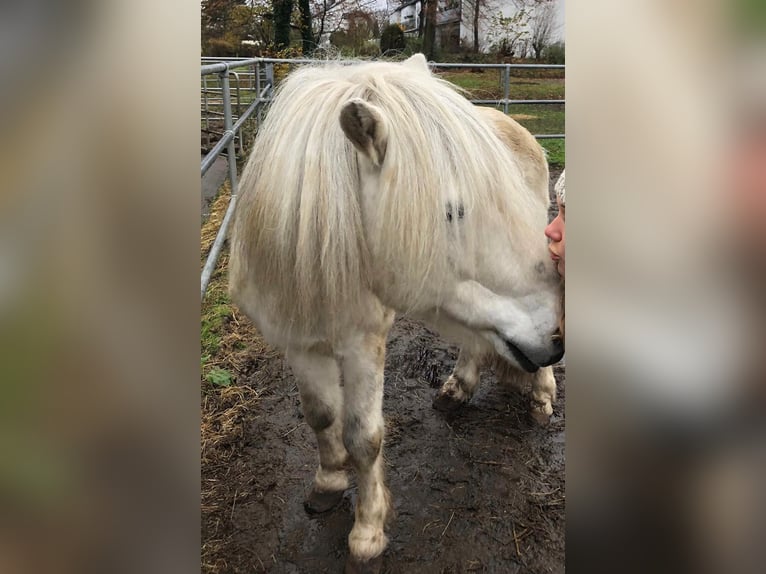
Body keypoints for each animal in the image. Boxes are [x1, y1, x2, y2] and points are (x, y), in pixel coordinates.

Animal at [228, 53, 564, 572]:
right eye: (453, 211)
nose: (554, 335)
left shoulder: (363, 344)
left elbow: (363, 437)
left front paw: (367, 532)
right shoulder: (299, 342)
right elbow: (320, 414)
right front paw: (328, 483)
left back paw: (541, 395)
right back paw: (458, 388)